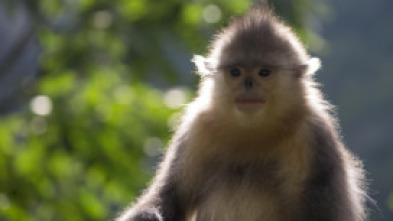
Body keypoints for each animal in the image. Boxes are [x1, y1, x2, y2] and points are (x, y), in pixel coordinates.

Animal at [115, 5, 364, 221]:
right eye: (236, 72)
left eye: (264, 72)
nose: (248, 84)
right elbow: (168, 200)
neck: (252, 130)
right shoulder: (197, 127)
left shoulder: (315, 136)